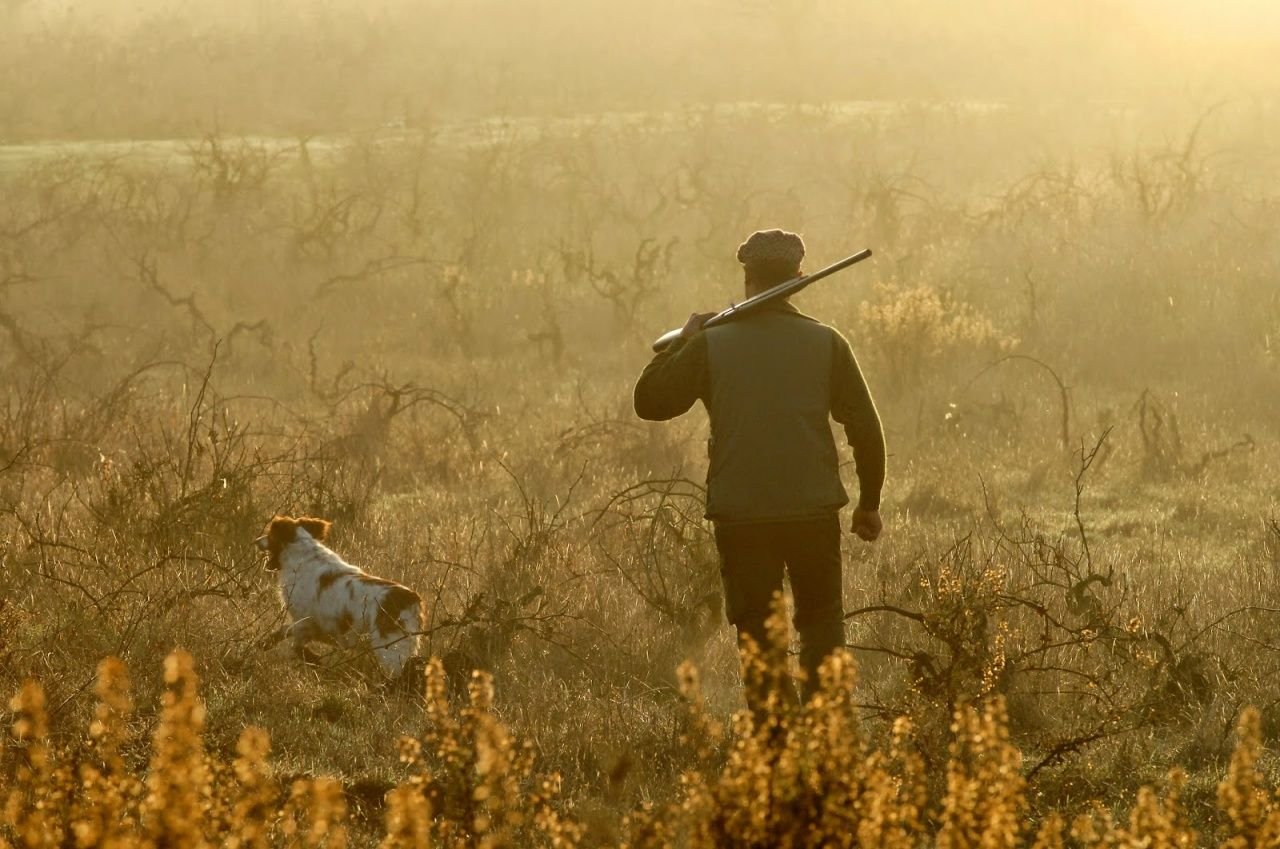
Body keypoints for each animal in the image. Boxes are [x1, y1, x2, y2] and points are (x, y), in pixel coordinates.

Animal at [252, 517, 422, 676]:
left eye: (270, 534)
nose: (256, 540)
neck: (303, 555)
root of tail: (411, 599)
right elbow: (286, 632)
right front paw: (266, 643)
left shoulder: (305, 621)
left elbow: (295, 644)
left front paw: (314, 660)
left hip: (391, 651)